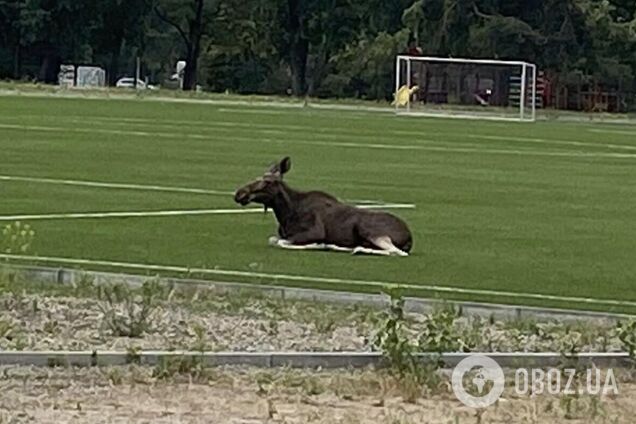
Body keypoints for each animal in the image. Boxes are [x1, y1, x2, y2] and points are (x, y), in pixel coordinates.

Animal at [234, 157, 412, 256]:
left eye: (268, 182)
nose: (239, 193)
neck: (286, 213)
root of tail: (410, 237)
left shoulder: (315, 232)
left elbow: (280, 242)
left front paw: (317, 245)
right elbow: (273, 239)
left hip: (369, 229)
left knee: (398, 252)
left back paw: (356, 249)